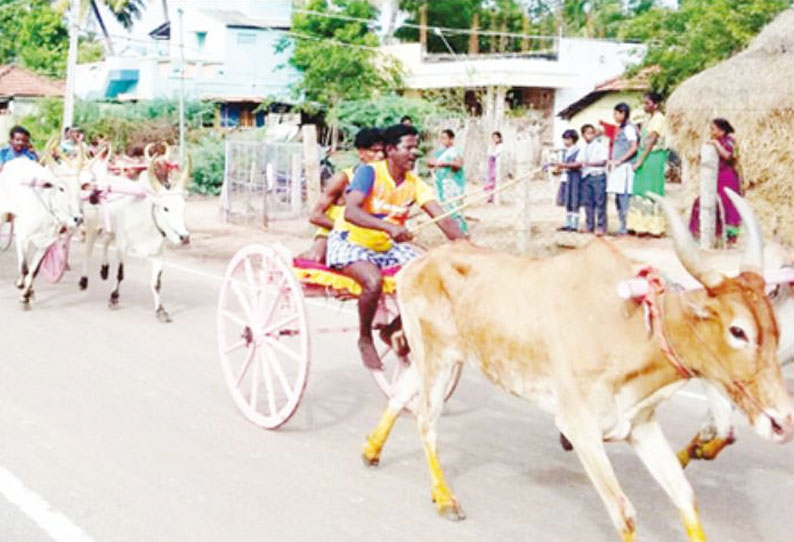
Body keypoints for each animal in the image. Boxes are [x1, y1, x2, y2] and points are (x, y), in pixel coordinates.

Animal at [0, 159, 86, 308]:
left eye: (80, 187)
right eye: (61, 188)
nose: (78, 218)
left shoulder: (46, 244)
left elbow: (34, 270)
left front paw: (26, 293)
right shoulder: (22, 237)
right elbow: (24, 267)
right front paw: (25, 292)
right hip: (3, 214)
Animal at [80, 156, 190, 324]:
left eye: (183, 207)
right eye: (165, 208)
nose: (184, 237)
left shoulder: (159, 253)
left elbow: (156, 283)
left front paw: (161, 311)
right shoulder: (122, 247)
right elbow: (120, 274)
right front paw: (113, 298)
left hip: (111, 229)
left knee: (106, 241)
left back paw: (104, 269)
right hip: (91, 226)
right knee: (88, 252)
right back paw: (84, 280)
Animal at [362, 192, 788, 542]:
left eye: (774, 327)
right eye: (738, 330)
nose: (783, 421)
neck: (634, 325)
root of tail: (419, 262)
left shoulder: (641, 426)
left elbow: (686, 496)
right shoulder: (580, 427)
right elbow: (624, 514)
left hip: (439, 357)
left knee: (401, 398)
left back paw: (371, 451)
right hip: (436, 357)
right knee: (426, 421)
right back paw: (445, 499)